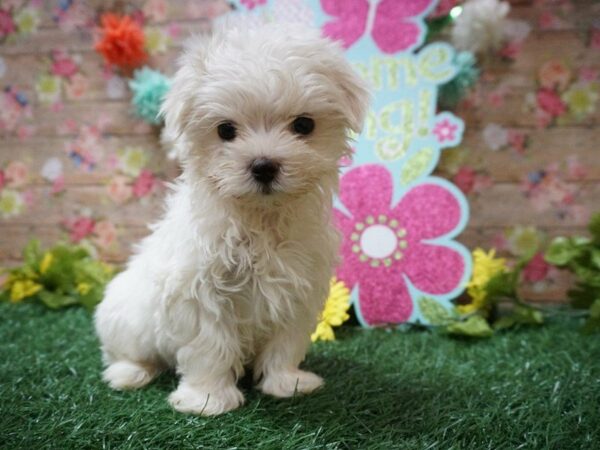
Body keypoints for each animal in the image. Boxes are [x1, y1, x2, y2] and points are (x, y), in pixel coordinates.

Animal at [94, 21, 370, 414]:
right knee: (122, 352)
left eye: (304, 125)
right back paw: (129, 373)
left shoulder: (299, 287)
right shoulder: (199, 290)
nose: (264, 165)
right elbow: (210, 346)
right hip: (125, 319)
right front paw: (207, 399)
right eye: (225, 130)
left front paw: (286, 382)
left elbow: (285, 342)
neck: (261, 219)